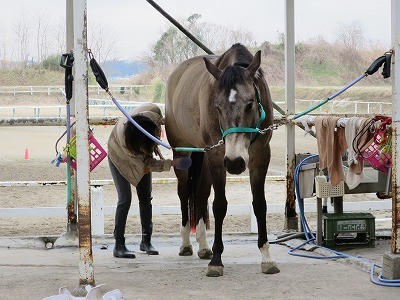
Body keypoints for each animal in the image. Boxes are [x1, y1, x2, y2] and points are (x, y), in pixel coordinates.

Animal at [164, 42, 280, 276]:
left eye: (250, 103)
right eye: (217, 106)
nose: (235, 163)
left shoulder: (260, 155)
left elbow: (260, 204)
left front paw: (266, 257)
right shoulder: (217, 156)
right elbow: (219, 205)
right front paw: (217, 260)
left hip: (203, 157)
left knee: (200, 194)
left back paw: (203, 245)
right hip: (183, 155)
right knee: (184, 194)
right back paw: (186, 244)